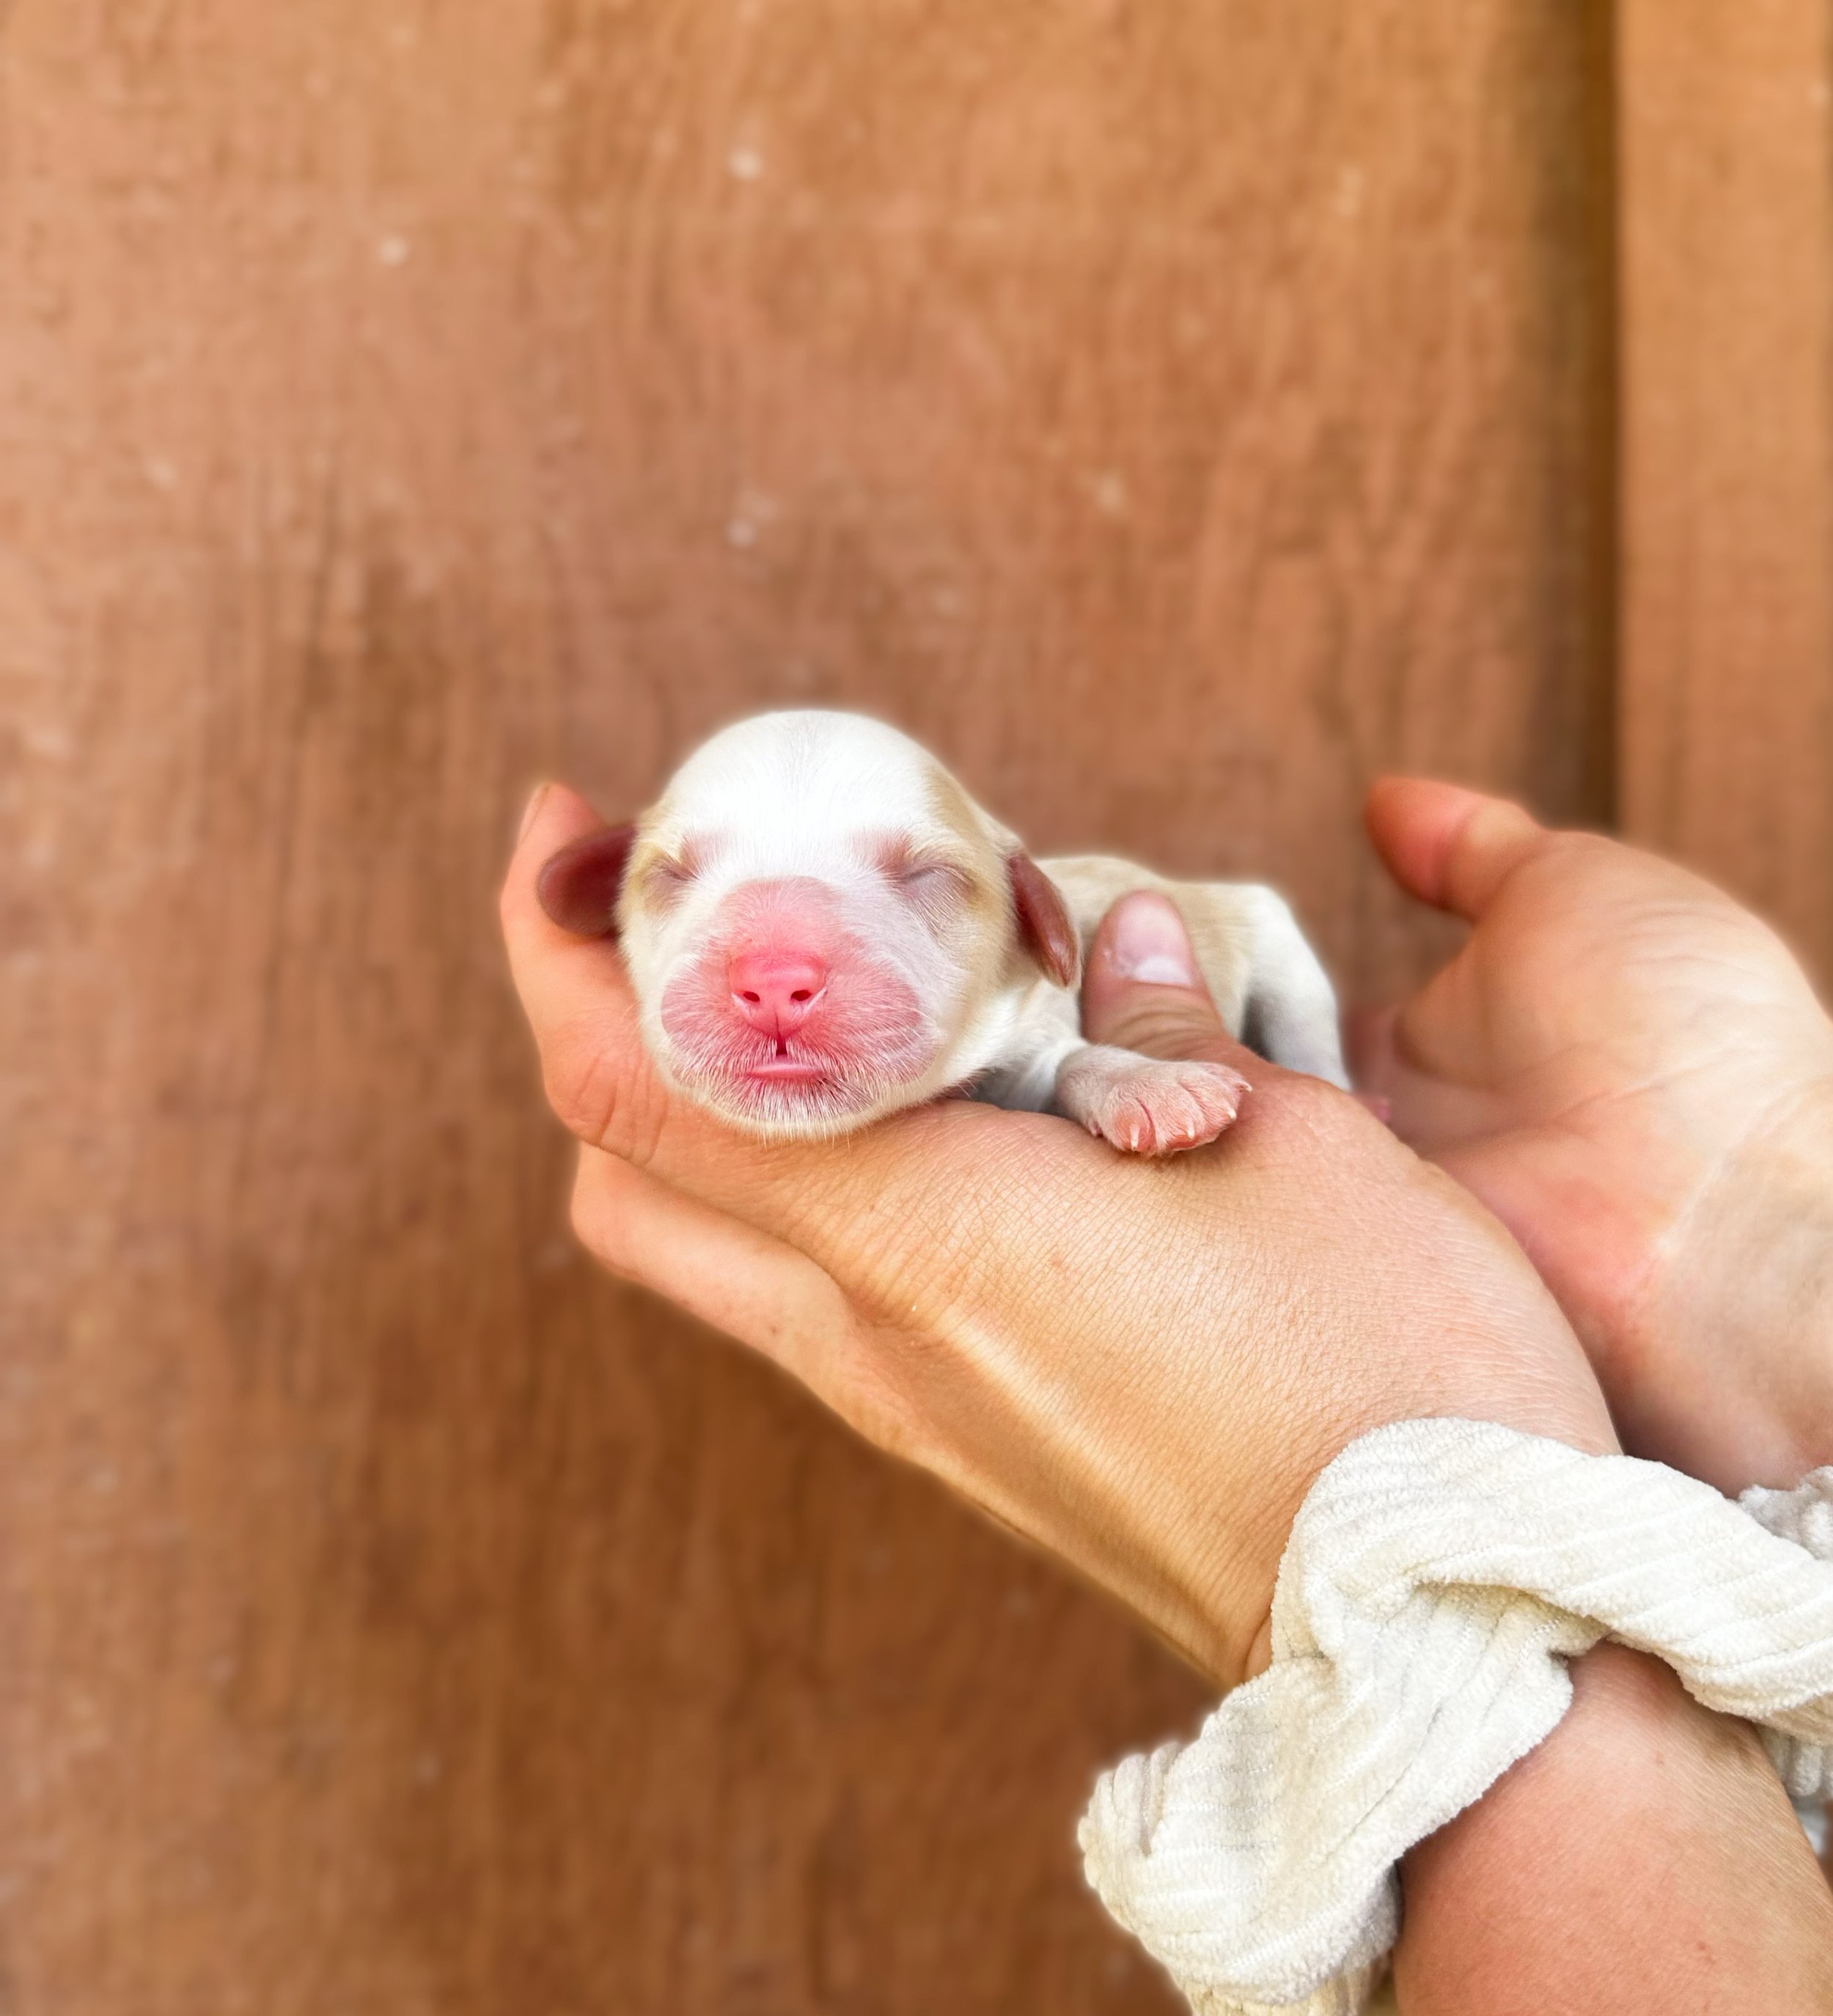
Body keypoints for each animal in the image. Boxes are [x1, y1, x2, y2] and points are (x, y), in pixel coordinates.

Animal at [536, 710, 1355, 1153]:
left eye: (927, 873)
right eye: (670, 873)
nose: (772, 979)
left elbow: (1069, 1060)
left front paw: (1151, 1084)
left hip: (1275, 939)